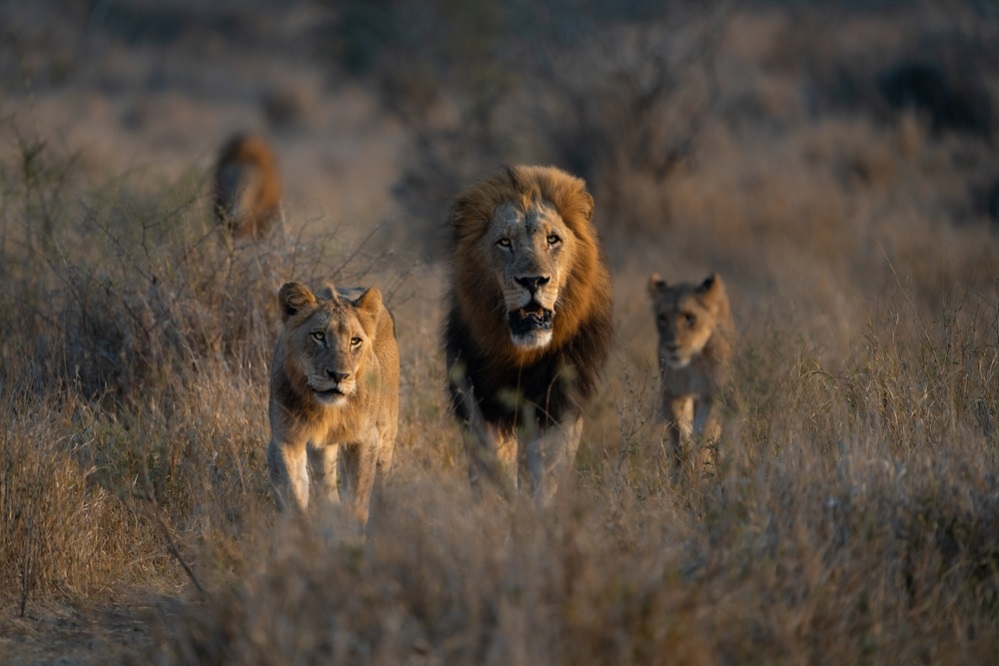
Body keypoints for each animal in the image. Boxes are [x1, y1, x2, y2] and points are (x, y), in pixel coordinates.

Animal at [270, 280, 402, 524]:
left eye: (355, 341)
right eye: (319, 336)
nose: (339, 375)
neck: (325, 410)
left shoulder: (366, 439)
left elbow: (357, 501)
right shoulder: (285, 439)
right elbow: (293, 496)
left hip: (387, 429)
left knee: (381, 481)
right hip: (322, 447)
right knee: (326, 485)